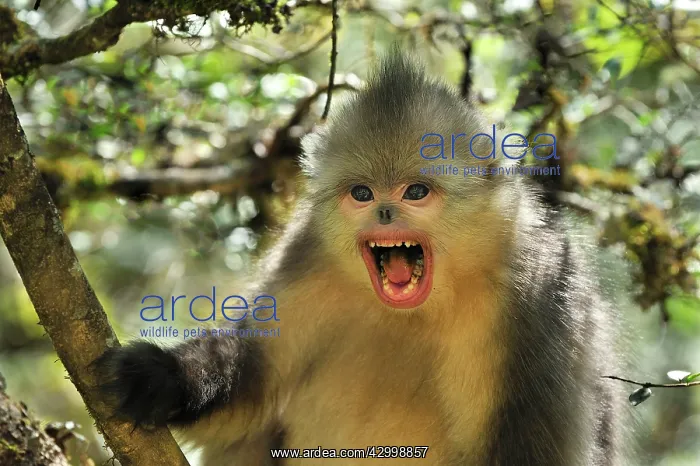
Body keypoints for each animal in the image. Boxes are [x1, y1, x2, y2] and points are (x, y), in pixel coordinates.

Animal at [96, 49, 625, 466]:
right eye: (363, 193)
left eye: (415, 192)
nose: (385, 212)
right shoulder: (307, 257)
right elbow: (255, 382)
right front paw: (160, 379)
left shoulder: (538, 296)